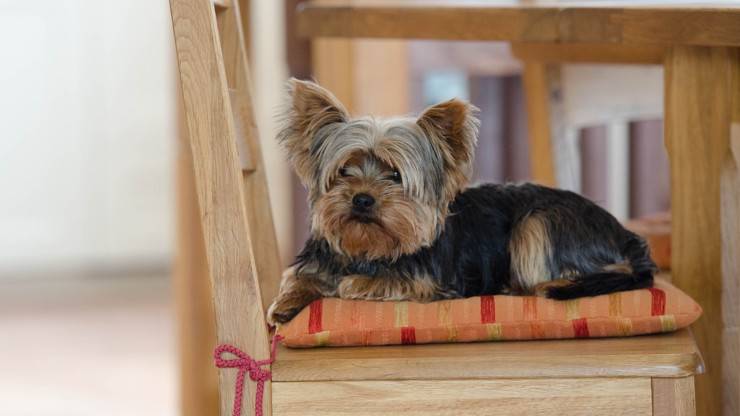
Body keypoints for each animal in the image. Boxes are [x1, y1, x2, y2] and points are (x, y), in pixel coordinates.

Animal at [264, 79, 652, 324]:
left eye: (395, 176)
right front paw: (285, 303)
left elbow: (379, 282)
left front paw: (354, 284)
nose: (362, 199)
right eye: (344, 170)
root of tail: (625, 233)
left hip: (539, 223)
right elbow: (298, 277)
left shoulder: (430, 282)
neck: (368, 249)